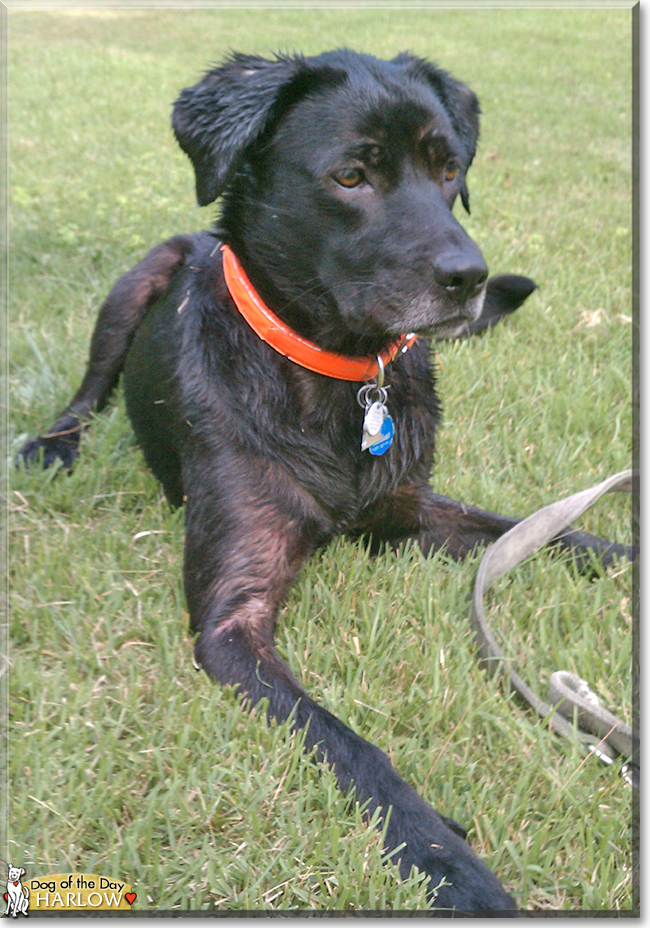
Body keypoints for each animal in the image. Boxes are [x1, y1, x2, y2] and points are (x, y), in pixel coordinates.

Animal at [20, 49, 628, 908]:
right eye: (350, 177)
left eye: (449, 169)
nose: (469, 275)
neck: (337, 373)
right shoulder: (232, 624)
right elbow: (354, 749)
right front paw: (448, 862)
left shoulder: (410, 512)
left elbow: (548, 533)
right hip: (135, 282)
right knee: (88, 388)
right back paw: (55, 444)